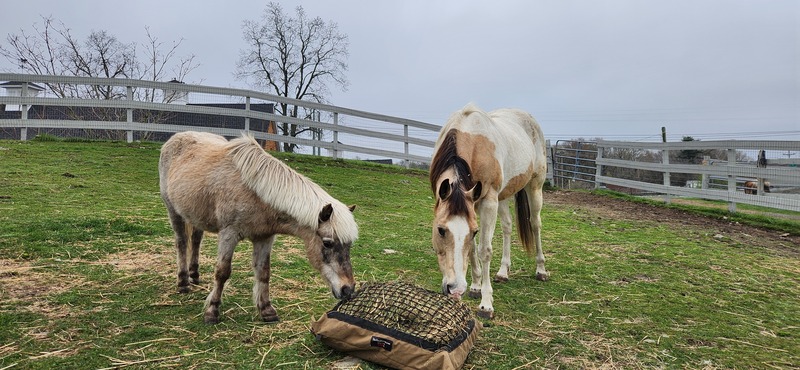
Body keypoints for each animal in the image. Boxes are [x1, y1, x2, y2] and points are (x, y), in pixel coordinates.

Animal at [158, 132, 358, 322]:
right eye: (327, 243)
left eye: (349, 245)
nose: (348, 289)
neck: (255, 192)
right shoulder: (229, 234)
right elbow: (222, 272)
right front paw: (212, 311)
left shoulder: (265, 238)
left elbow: (264, 273)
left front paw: (267, 310)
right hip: (173, 211)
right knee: (182, 243)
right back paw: (183, 282)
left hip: (196, 216)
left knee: (196, 240)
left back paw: (194, 275)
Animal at [432, 103, 552, 318]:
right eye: (441, 230)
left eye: (474, 232)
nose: (455, 289)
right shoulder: (473, 205)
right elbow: (472, 249)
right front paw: (475, 286)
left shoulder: (488, 202)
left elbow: (484, 250)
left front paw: (486, 303)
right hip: (502, 197)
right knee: (507, 227)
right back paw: (503, 273)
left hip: (534, 187)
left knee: (535, 224)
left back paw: (541, 270)